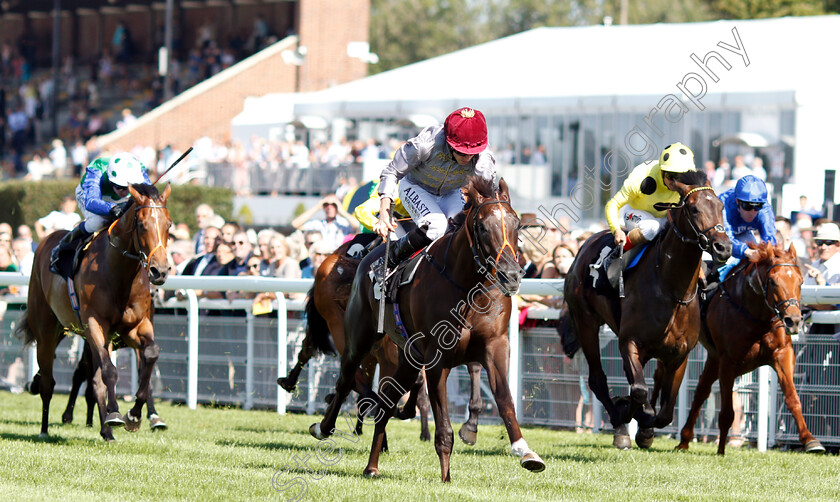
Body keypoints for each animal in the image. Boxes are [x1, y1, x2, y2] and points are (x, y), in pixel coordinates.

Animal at [17, 183, 172, 440]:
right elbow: (109, 371)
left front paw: (134, 416)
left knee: (92, 380)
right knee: (49, 381)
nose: (160, 270)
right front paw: (116, 413)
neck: (119, 274)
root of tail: (46, 240)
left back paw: (106, 431)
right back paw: (45, 430)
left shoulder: (134, 327)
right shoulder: (94, 324)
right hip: (47, 330)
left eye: (169, 224)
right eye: (141, 225)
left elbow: (150, 356)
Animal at [308, 178, 544, 480]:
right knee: (346, 380)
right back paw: (323, 428)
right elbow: (442, 425)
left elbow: (504, 398)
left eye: (517, 224)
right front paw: (446, 477)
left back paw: (372, 466)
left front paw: (525, 452)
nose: (511, 275)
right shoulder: (436, 357)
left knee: (386, 401)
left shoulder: (495, 345)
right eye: (482, 227)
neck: (468, 286)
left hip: (407, 357)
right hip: (358, 337)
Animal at [556, 171, 736, 450]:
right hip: (586, 322)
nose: (723, 248)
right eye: (694, 208)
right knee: (598, 379)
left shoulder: (680, 354)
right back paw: (620, 428)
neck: (671, 288)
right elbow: (639, 391)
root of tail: (583, 246)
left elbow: (665, 412)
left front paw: (645, 428)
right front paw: (628, 413)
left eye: (721, 207)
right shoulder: (630, 341)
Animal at [676, 243, 828, 454]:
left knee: (701, 391)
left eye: (801, 281)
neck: (756, 314)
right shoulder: (728, 361)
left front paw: (810, 440)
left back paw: (684, 439)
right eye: (773, 281)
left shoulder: (782, 354)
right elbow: (727, 411)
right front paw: (721, 451)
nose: (794, 321)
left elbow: (793, 399)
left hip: (713, 357)